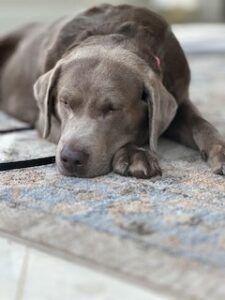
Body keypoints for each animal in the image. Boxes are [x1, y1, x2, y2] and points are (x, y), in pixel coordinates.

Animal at [0, 4, 225, 178]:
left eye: (113, 108)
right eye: (64, 102)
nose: (71, 159)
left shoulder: (179, 98)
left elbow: (201, 124)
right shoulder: (46, 120)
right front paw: (135, 155)